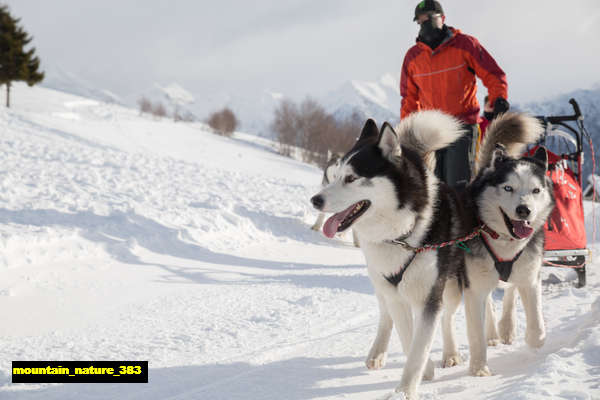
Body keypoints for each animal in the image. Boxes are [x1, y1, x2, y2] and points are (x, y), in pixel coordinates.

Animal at [312, 111, 466, 398]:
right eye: (336, 175)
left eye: (351, 178)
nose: (315, 200)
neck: (402, 234)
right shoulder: (395, 294)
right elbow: (408, 337)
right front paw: (423, 372)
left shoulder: (429, 297)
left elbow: (420, 344)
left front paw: (406, 390)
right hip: (380, 281)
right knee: (385, 316)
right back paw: (377, 353)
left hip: (450, 286)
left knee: (448, 317)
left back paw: (451, 353)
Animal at [446, 113, 552, 378]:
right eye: (508, 187)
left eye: (536, 190)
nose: (524, 210)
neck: (504, 240)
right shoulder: (473, 287)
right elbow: (475, 333)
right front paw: (478, 368)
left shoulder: (530, 276)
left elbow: (536, 323)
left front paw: (534, 341)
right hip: (454, 285)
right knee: (448, 317)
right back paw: (452, 353)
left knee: (508, 293)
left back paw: (503, 328)